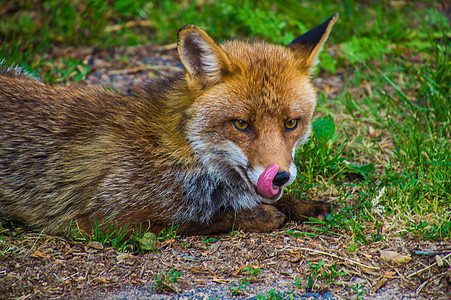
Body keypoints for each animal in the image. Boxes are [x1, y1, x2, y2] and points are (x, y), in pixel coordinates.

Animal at [0, 14, 340, 236]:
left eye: (292, 123)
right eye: (241, 124)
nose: (280, 176)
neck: (186, 154)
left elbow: (280, 199)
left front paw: (307, 204)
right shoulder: (103, 219)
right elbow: (199, 219)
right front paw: (260, 215)